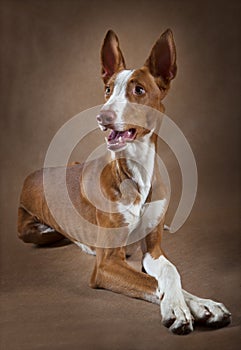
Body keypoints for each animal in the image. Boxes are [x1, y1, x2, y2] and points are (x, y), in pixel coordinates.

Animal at [17, 29, 232, 334]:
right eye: (108, 89)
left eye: (138, 90)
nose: (102, 116)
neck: (137, 171)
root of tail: (34, 173)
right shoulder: (106, 265)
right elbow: (152, 282)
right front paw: (177, 309)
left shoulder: (153, 250)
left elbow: (170, 272)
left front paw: (203, 304)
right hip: (33, 231)